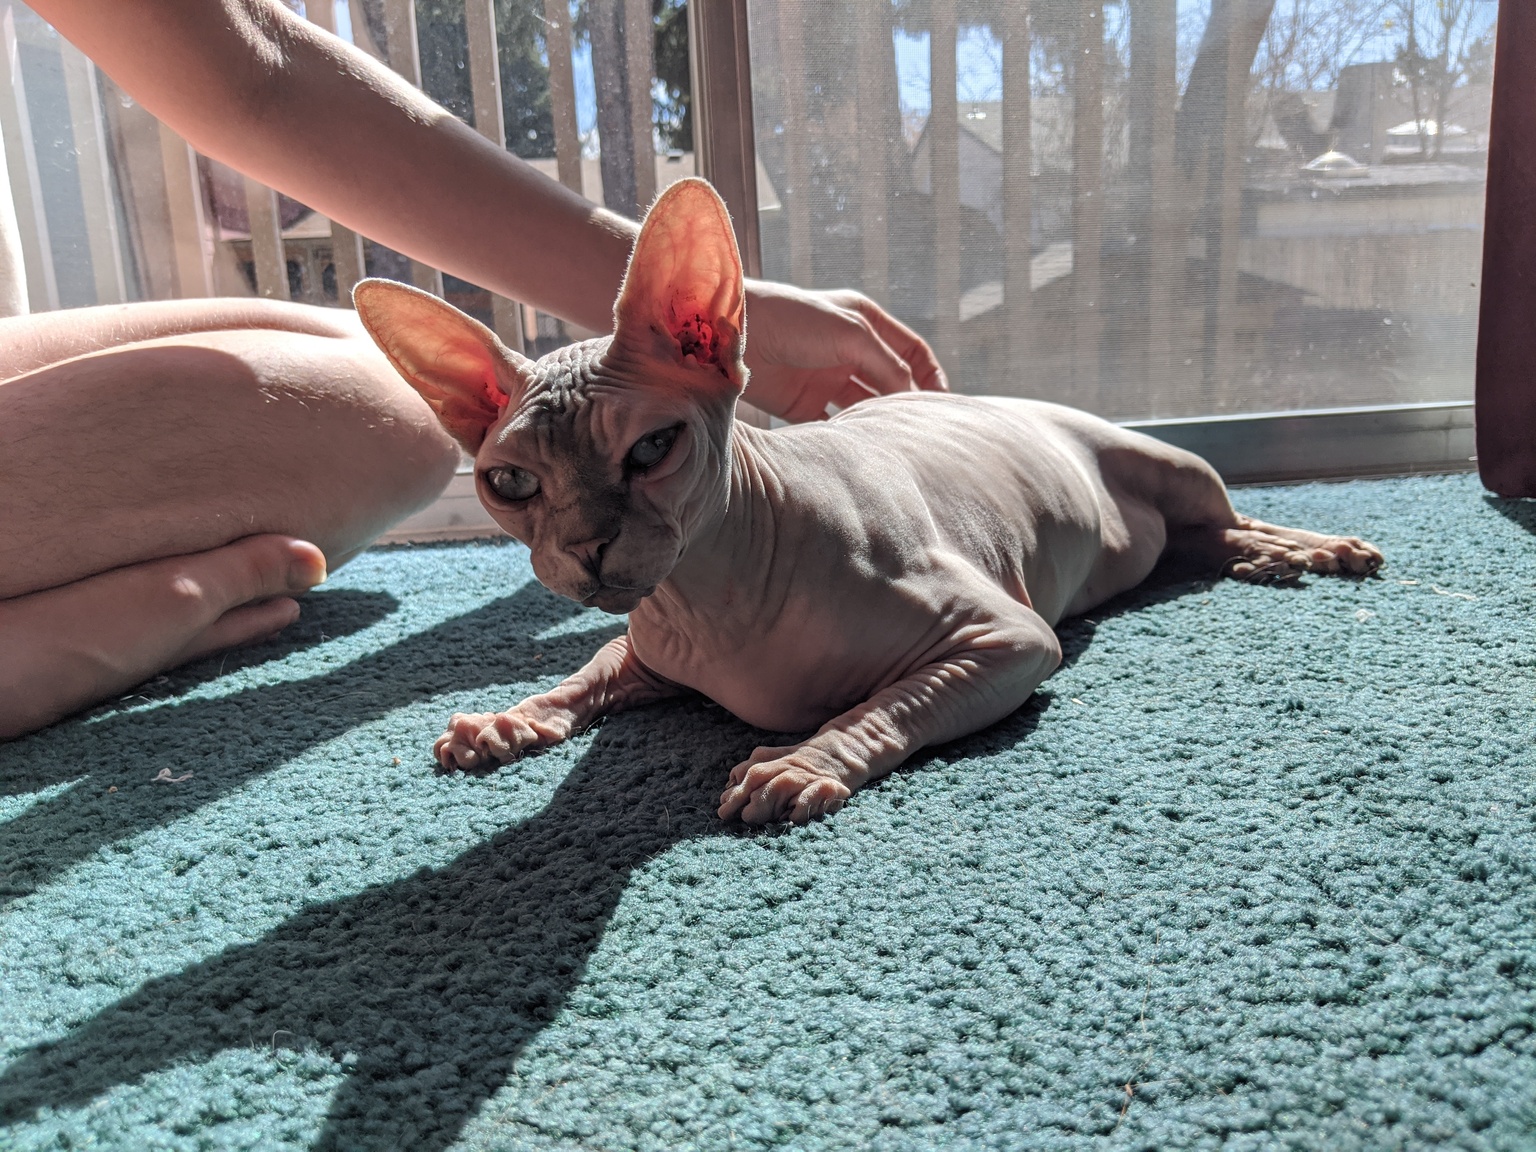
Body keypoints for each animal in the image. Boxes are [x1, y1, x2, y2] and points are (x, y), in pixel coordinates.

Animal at [353, 178, 1388, 829]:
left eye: (652, 448)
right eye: (512, 483)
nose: (588, 551)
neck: (708, 605)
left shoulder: (1007, 637)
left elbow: (888, 704)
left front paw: (801, 761)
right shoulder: (644, 649)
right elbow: (586, 672)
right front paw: (511, 717)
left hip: (1163, 457)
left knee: (1222, 515)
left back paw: (1306, 548)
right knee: (1190, 543)